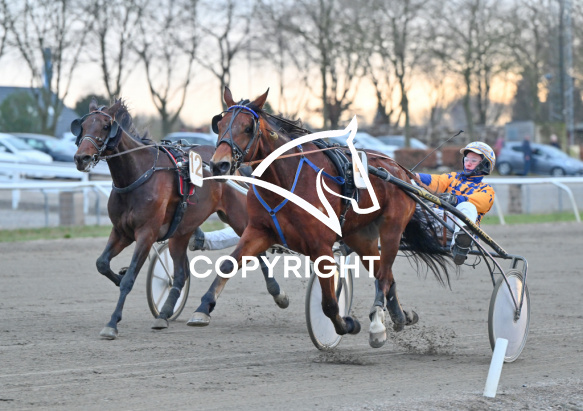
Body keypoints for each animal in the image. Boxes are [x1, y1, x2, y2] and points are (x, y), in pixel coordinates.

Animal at [73, 98, 288, 339]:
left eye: (105, 126)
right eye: (82, 126)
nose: (81, 158)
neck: (138, 174)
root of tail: (231, 164)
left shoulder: (146, 234)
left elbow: (129, 280)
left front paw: (112, 322)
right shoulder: (121, 231)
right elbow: (102, 263)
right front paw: (120, 276)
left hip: (238, 217)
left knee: (256, 252)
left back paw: (278, 293)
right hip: (181, 231)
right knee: (181, 273)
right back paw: (164, 313)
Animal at [189, 88, 451, 348]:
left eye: (247, 128)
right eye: (219, 124)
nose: (219, 165)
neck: (286, 182)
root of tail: (399, 170)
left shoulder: (320, 246)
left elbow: (329, 303)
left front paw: (347, 324)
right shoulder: (259, 231)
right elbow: (227, 264)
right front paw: (203, 308)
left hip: (391, 230)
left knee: (384, 274)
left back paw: (377, 324)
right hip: (361, 237)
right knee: (384, 274)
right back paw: (399, 315)